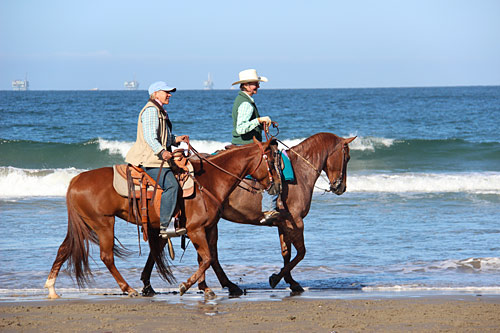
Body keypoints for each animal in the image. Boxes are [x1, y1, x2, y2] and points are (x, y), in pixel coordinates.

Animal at [43, 138, 280, 298]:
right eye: (272, 162)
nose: (277, 186)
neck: (210, 181)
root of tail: (75, 180)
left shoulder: (209, 227)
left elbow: (208, 257)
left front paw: (209, 287)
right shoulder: (195, 229)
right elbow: (207, 258)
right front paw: (187, 285)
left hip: (85, 224)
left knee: (64, 249)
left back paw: (52, 288)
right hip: (103, 223)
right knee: (106, 257)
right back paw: (128, 288)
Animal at [139, 132, 354, 296]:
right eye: (347, 157)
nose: (340, 187)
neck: (300, 172)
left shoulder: (283, 223)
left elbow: (287, 253)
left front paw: (289, 280)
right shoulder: (296, 221)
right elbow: (300, 253)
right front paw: (277, 278)